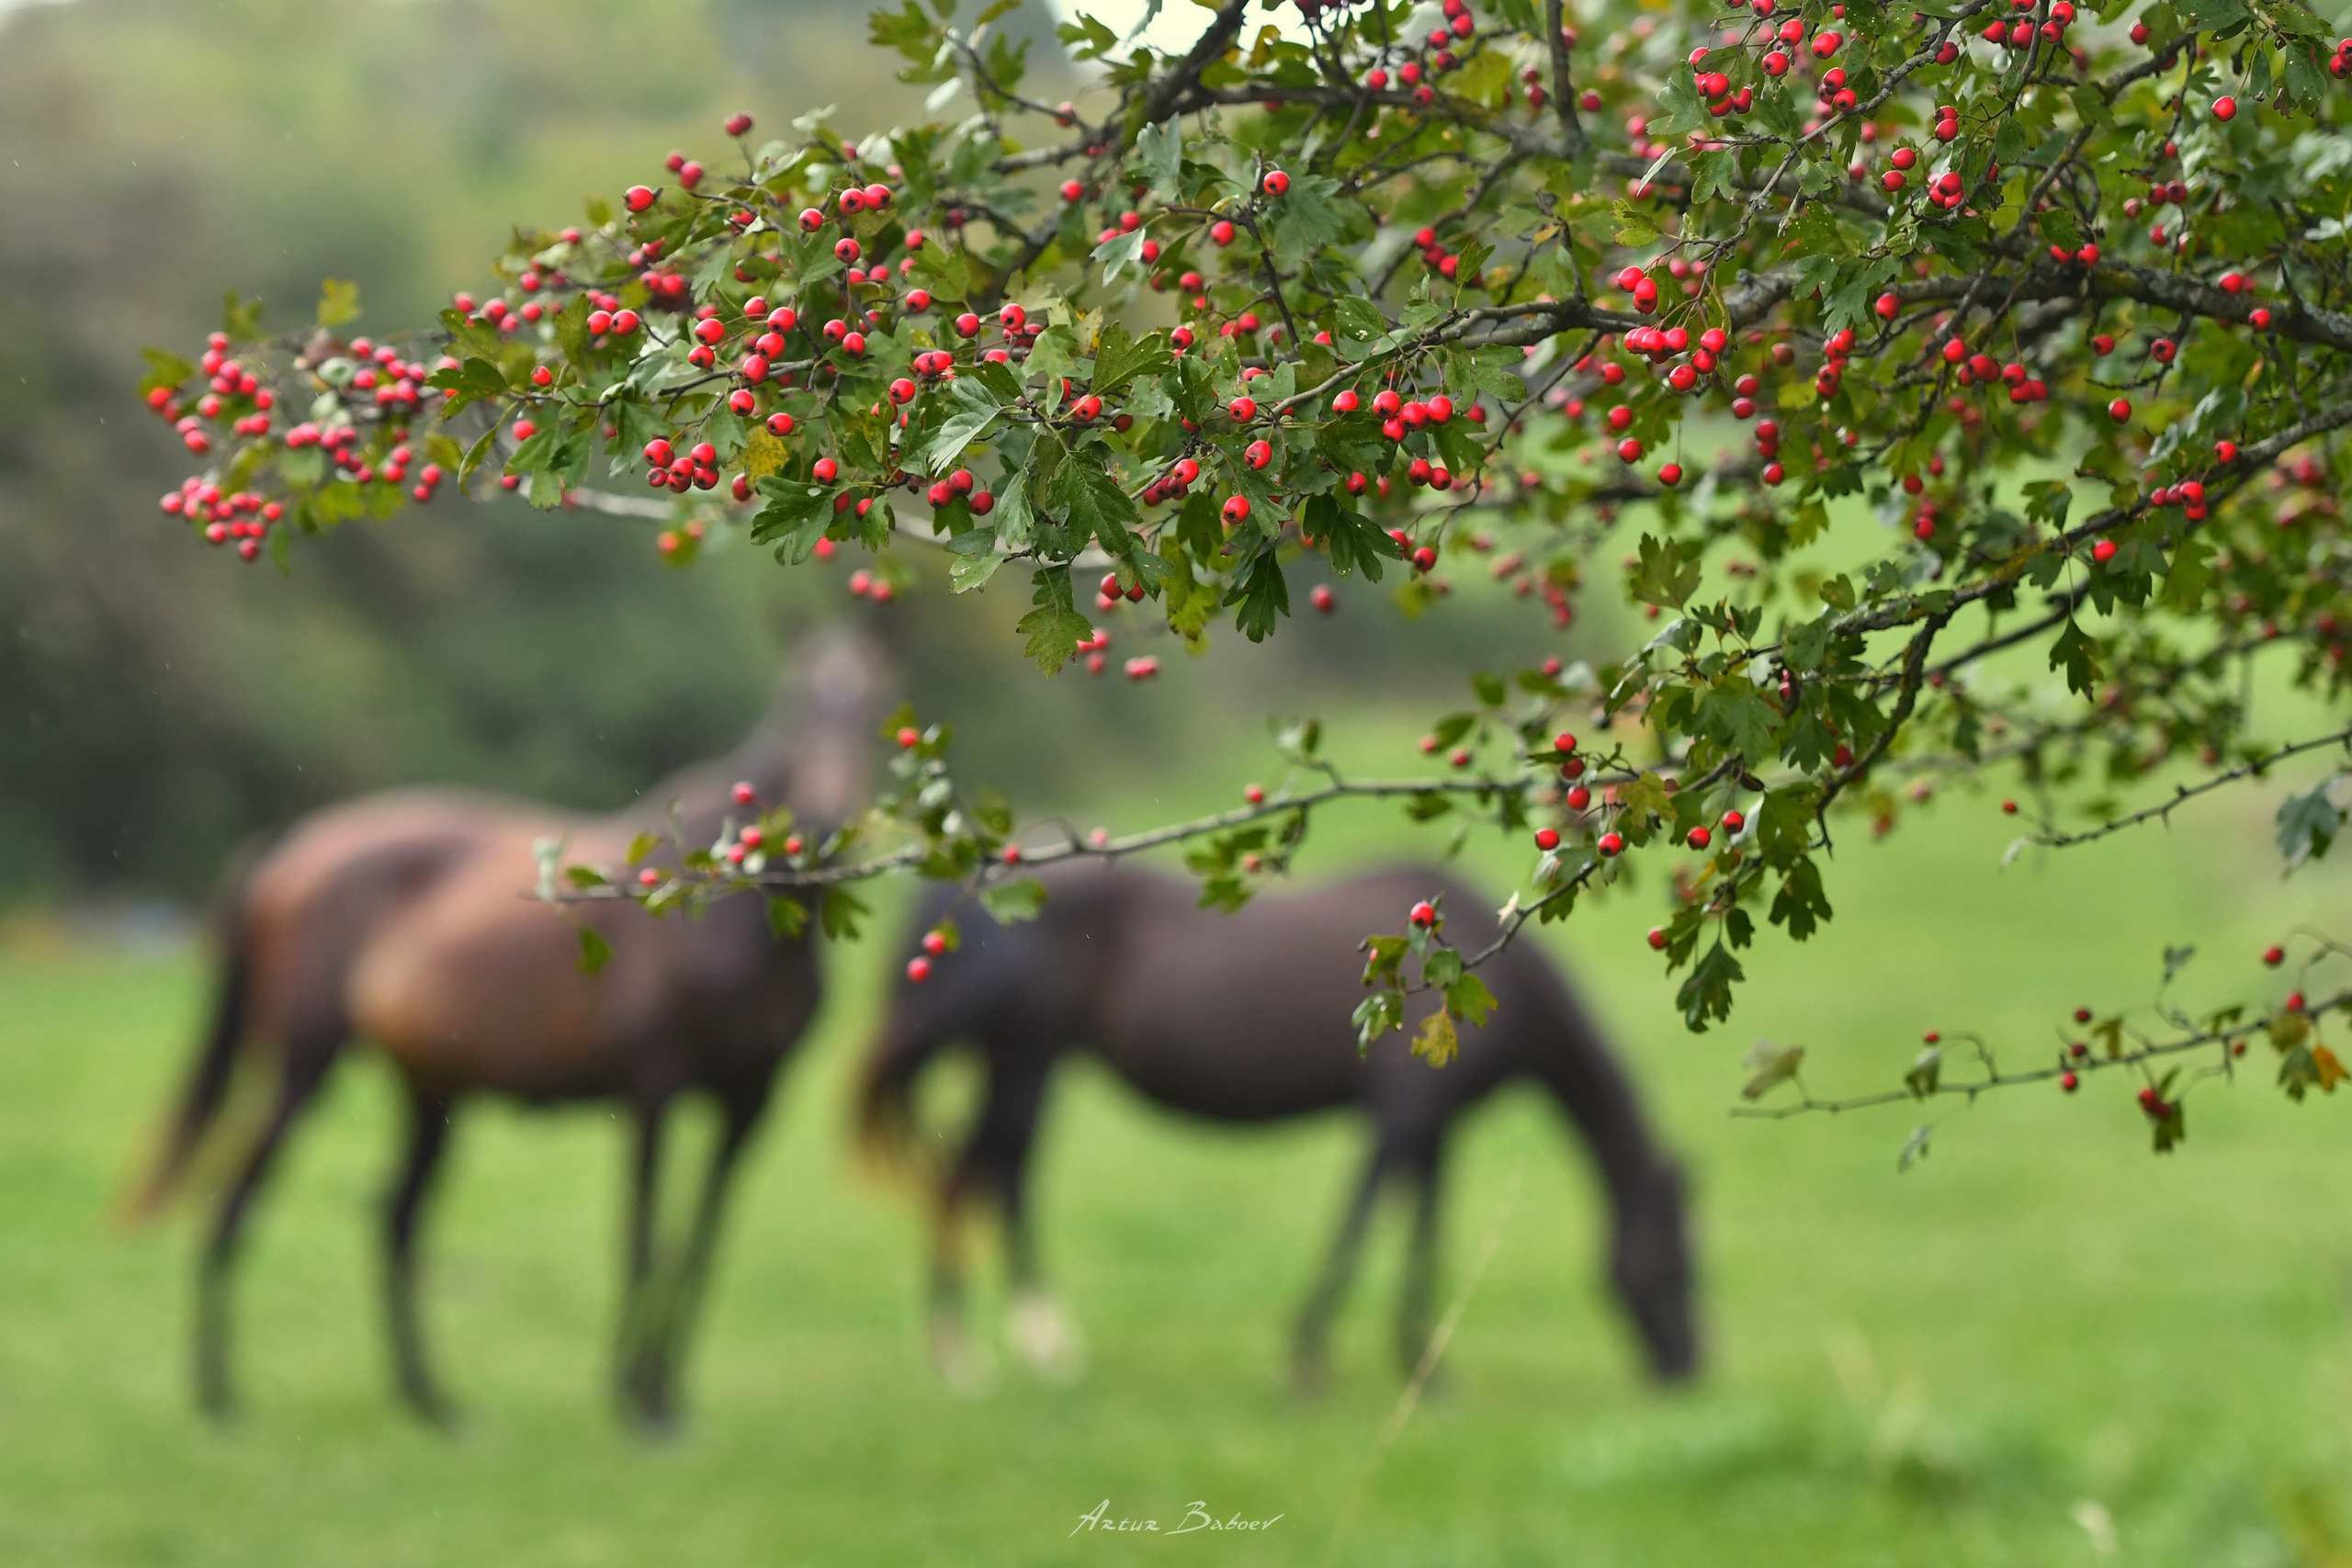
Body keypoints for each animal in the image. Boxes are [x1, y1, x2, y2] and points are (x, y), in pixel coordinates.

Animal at [125, 623, 886, 1431]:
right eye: (796, 702)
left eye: (877, 699)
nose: (827, 813)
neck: (732, 911)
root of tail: (292, 845)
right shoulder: (653, 1091)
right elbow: (643, 1240)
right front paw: (633, 1400)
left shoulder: (751, 1102)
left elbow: (699, 1249)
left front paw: (668, 1395)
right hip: (306, 1067)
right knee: (236, 1205)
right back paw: (220, 1396)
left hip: (427, 1093)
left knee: (396, 1220)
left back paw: (430, 1400)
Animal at [858, 861, 1699, 1392]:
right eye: (1673, 1265)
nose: (1691, 1370)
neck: (1491, 975)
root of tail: (957, 896)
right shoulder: (1402, 1117)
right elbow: (1361, 1223)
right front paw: (1310, 1361)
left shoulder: (1433, 1131)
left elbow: (1421, 1234)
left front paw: (1421, 1366)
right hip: (1024, 1060)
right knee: (980, 1176)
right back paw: (987, 1352)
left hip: (1023, 1065)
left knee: (991, 1176)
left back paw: (1015, 1348)